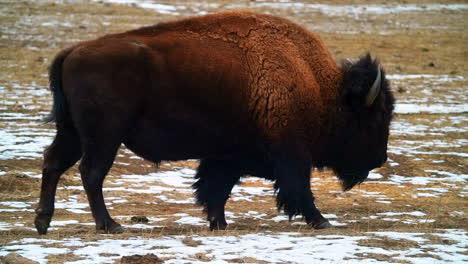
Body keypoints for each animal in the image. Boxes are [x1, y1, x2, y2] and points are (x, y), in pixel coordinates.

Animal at [34, 10, 394, 234]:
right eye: (377, 116)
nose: (380, 159)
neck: (319, 86)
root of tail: (72, 51)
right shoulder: (291, 154)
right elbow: (298, 189)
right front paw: (321, 221)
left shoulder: (226, 155)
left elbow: (215, 189)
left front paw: (218, 223)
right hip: (104, 136)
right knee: (91, 173)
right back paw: (110, 225)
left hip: (73, 132)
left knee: (53, 164)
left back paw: (43, 222)